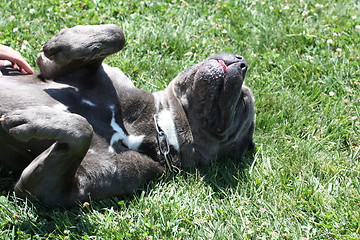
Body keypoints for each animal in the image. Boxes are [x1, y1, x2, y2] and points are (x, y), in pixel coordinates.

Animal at [0, 25, 256, 207]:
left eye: (243, 102)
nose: (242, 61)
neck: (157, 128)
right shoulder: (54, 69)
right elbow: (116, 33)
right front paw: (62, 42)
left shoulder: (52, 189)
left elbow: (83, 129)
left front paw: (35, 120)